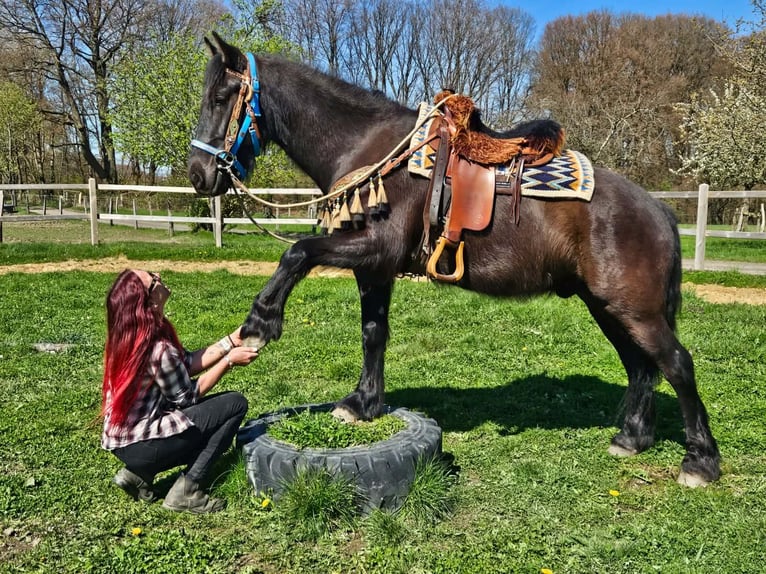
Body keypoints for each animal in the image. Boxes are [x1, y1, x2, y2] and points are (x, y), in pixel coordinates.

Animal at [188, 33, 720, 487]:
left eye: (220, 98)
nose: (196, 173)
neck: (370, 148)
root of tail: (657, 209)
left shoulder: (374, 247)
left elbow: (296, 252)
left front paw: (259, 323)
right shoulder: (374, 269)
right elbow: (373, 332)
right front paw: (363, 403)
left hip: (634, 309)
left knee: (676, 363)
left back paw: (700, 461)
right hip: (608, 307)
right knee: (640, 366)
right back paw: (633, 438)